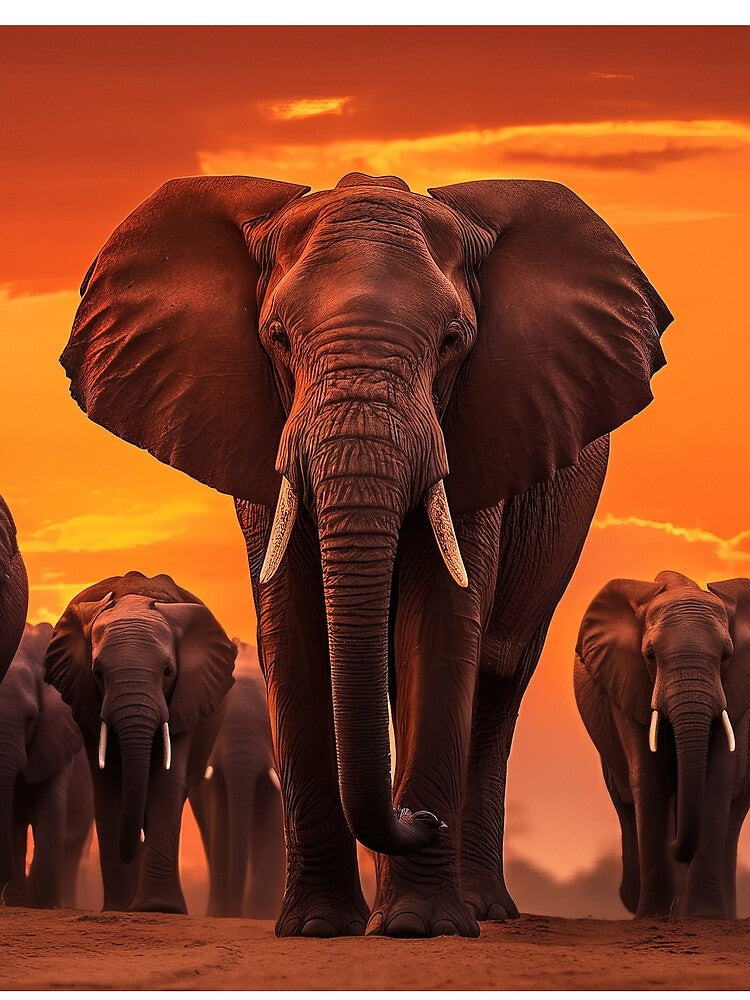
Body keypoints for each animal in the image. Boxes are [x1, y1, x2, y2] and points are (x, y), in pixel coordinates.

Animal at [44, 571, 236, 913]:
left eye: (167, 671)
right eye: (98, 673)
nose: (128, 851)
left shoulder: (186, 696)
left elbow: (167, 780)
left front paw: (159, 908)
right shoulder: (87, 702)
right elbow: (108, 781)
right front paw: (120, 908)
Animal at [189, 638, 284, 918]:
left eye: (268, 724)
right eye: (216, 722)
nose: (235, 911)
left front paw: (259, 913)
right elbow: (220, 816)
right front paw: (221, 912)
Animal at [575, 571, 750, 918]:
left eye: (726, 656)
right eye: (650, 657)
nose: (676, 847)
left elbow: (718, 781)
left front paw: (704, 916)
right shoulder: (627, 685)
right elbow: (649, 780)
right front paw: (653, 914)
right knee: (626, 803)